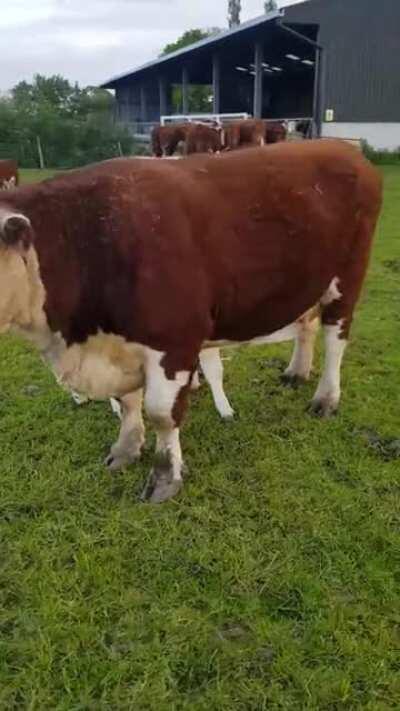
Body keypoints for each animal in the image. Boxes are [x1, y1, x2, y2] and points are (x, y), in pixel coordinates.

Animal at [0, 140, 382, 504]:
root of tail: (344, 148)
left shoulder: (174, 340)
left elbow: (160, 413)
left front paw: (165, 478)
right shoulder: (121, 344)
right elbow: (128, 403)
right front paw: (125, 450)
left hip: (347, 277)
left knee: (335, 339)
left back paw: (326, 399)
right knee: (307, 326)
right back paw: (296, 372)